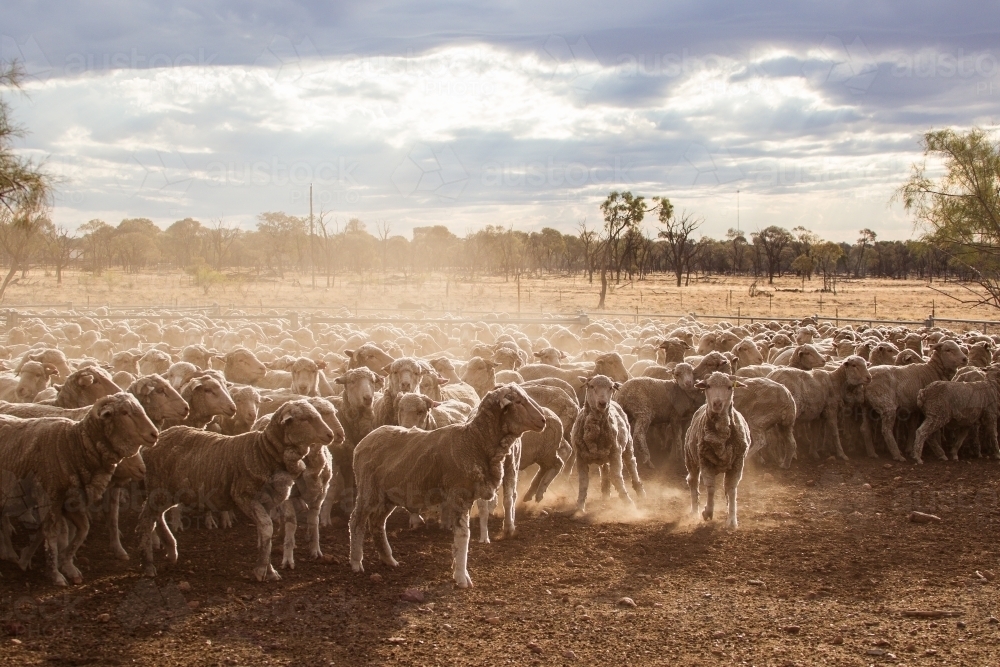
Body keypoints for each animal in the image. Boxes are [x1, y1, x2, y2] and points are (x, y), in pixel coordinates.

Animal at [138, 400, 336, 580]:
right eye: (305, 419)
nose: (330, 434)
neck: (263, 452)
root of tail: (158, 437)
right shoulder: (244, 496)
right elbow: (266, 528)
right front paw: (261, 571)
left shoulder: (268, 502)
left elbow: (265, 533)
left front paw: (269, 570)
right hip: (158, 487)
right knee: (147, 520)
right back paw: (148, 565)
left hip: (168, 492)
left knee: (158, 517)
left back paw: (171, 552)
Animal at [352, 384, 548, 588]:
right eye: (517, 402)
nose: (543, 421)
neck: (474, 442)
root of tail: (365, 440)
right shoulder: (459, 495)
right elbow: (463, 536)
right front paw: (462, 577)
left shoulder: (467, 497)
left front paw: (458, 570)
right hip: (368, 489)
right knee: (356, 521)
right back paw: (356, 562)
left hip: (387, 495)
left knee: (377, 523)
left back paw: (388, 559)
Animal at [684, 374, 752, 528]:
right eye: (708, 386)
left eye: (729, 387)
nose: (717, 404)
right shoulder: (705, 461)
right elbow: (710, 488)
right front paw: (707, 512)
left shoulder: (737, 463)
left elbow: (731, 489)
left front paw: (732, 520)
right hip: (691, 458)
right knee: (693, 481)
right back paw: (694, 511)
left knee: (725, 488)